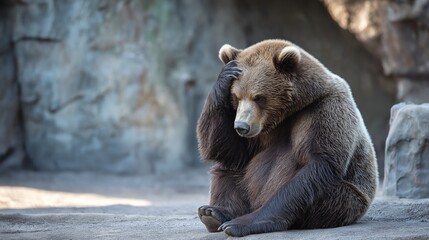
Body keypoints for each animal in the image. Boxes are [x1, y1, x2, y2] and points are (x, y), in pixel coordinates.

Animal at [196, 39, 376, 236]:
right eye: (236, 96)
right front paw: (226, 73)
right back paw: (214, 212)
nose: (241, 126)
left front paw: (242, 224)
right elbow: (230, 150)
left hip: (350, 196)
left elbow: (316, 164)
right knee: (228, 169)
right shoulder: (255, 131)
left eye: (258, 97)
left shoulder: (323, 109)